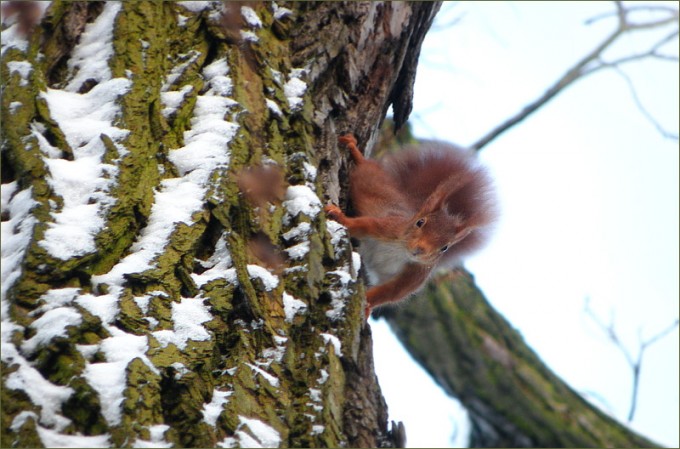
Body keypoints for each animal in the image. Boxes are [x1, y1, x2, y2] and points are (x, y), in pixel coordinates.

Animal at [325, 134, 497, 318]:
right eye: (420, 222)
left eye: (445, 247)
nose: (420, 249)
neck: (401, 250)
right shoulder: (386, 226)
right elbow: (359, 225)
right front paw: (339, 216)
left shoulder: (414, 275)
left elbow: (390, 292)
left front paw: (367, 305)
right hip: (372, 176)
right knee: (365, 164)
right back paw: (354, 148)